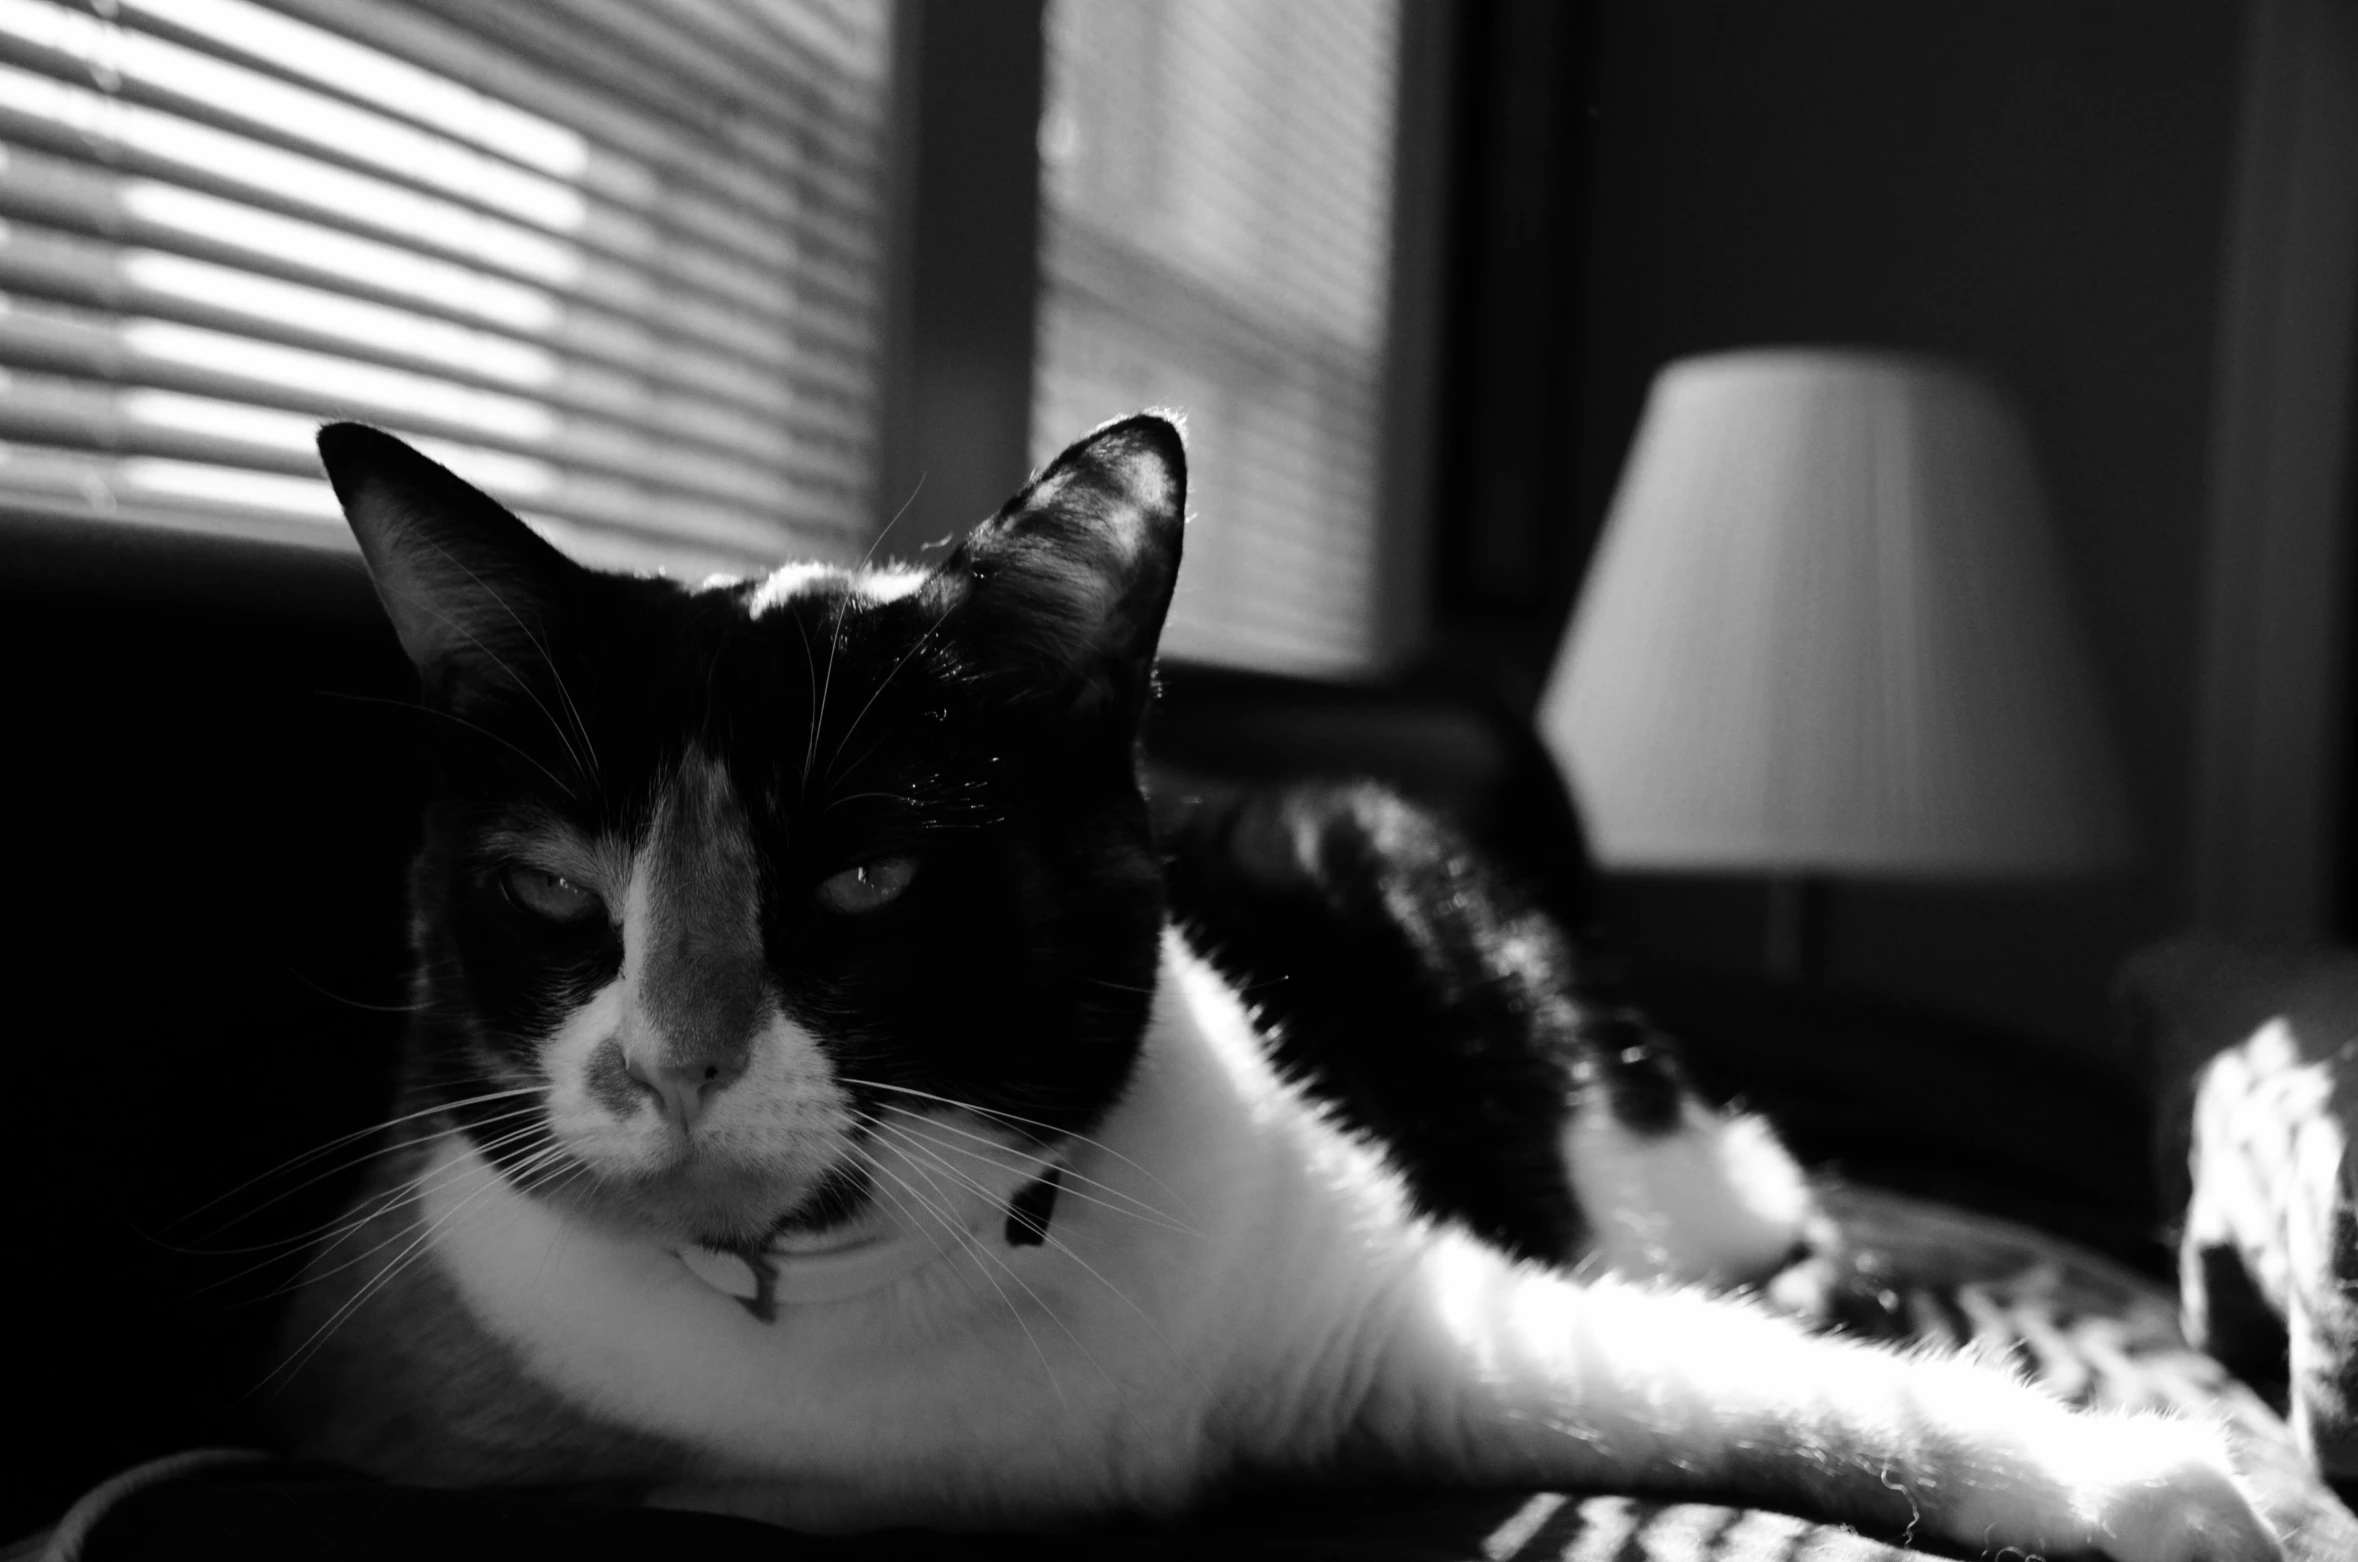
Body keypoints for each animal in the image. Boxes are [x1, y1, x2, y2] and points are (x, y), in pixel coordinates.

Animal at [285, 419, 2273, 1562]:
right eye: (553, 887)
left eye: (863, 876)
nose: (668, 1065)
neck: (901, 1297)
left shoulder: (1425, 1325)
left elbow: (1788, 1385)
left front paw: (2148, 1488)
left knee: (1756, 1221)